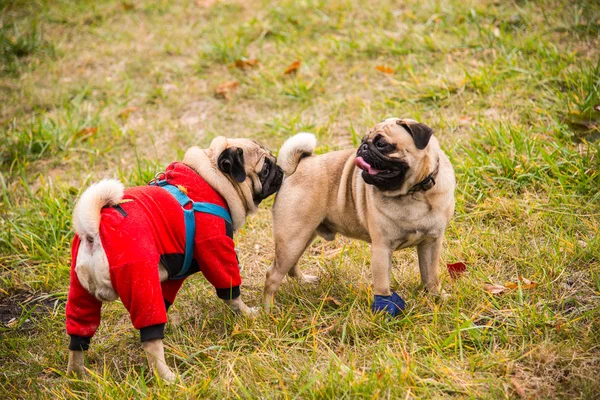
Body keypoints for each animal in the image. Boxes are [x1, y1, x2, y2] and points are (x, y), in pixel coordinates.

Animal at [65, 137, 284, 382]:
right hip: (141, 282)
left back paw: (76, 376)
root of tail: (94, 234)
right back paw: (168, 378)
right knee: (151, 342)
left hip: (81, 291)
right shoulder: (216, 246)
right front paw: (248, 314)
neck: (212, 178)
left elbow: (167, 298)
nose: (280, 170)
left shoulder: (175, 271)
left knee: (79, 335)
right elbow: (231, 292)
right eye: (265, 169)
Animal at [262, 118, 454, 316]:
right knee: (273, 275)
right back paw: (269, 311)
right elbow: (383, 285)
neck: (412, 193)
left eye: (382, 144)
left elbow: (430, 275)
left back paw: (304, 281)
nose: (363, 147)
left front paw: (437, 297)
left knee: (290, 266)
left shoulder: (431, 242)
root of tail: (294, 169)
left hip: (302, 237)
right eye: (363, 141)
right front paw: (384, 311)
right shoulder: (382, 249)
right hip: (293, 238)